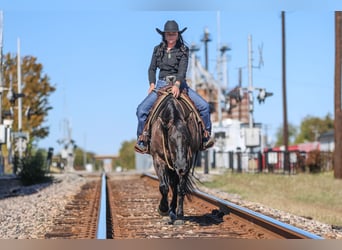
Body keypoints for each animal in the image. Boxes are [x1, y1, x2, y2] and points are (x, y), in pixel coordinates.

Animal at [148, 88, 203, 225]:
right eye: (171, 140)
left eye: (187, 139)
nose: (181, 167)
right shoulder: (158, 159)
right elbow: (164, 187)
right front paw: (162, 209)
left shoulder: (188, 161)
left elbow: (180, 189)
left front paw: (179, 215)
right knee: (171, 185)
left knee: (175, 186)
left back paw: (173, 211)